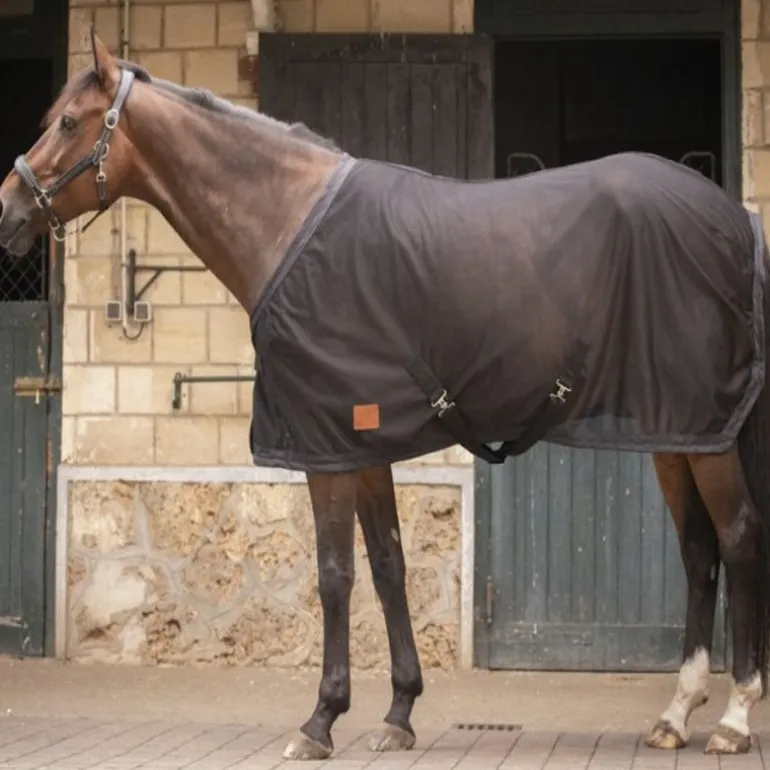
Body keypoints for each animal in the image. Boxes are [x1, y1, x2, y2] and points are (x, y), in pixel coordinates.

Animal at [0, 30, 769, 760]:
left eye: (68, 121)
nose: (8, 207)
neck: (289, 224)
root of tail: (736, 221)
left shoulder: (326, 450)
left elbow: (335, 575)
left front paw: (320, 719)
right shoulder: (362, 443)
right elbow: (390, 566)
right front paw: (398, 712)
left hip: (708, 436)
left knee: (737, 539)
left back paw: (733, 719)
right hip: (675, 433)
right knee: (697, 551)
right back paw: (675, 715)